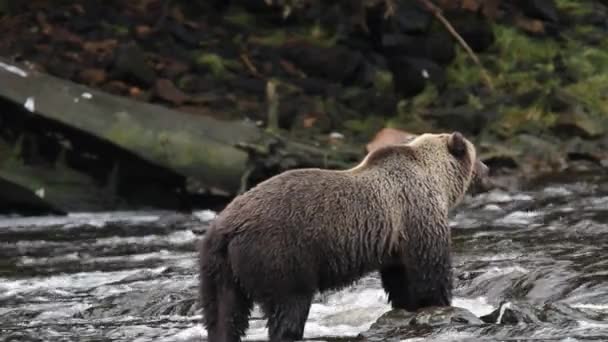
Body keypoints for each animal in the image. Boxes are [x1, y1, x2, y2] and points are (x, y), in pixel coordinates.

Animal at [200, 132, 490, 342]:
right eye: (476, 154)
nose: (487, 170)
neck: (436, 181)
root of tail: (227, 226)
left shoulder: (394, 239)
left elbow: (399, 278)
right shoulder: (416, 214)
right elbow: (430, 271)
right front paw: (440, 304)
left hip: (218, 267)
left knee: (223, 314)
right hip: (280, 252)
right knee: (289, 304)